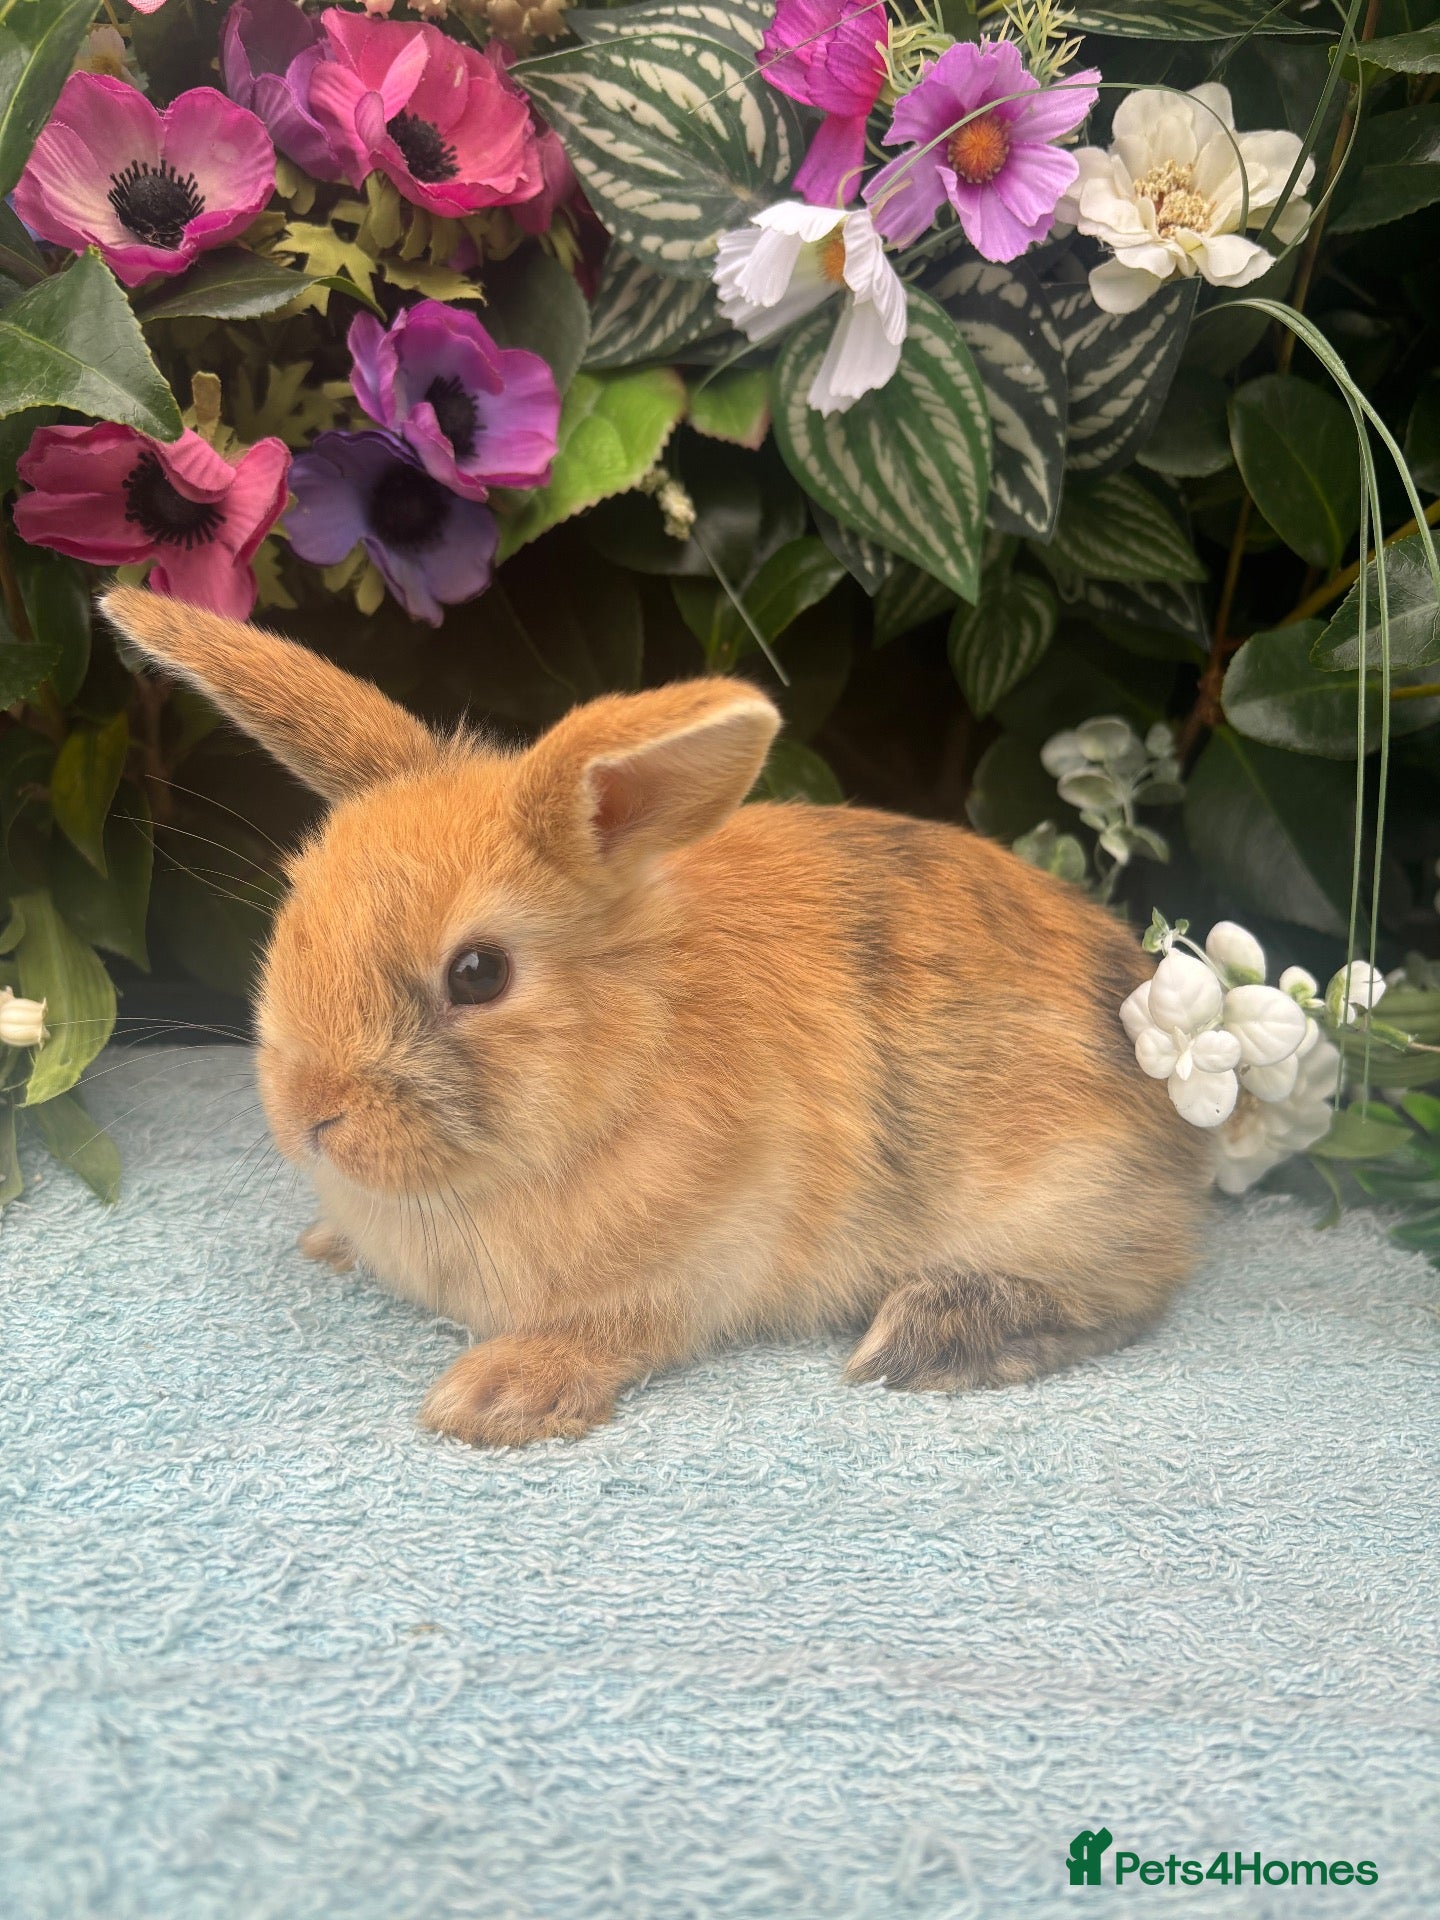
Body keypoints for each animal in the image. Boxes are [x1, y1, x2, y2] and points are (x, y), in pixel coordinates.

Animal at [104, 585, 1212, 1448]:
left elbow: (616, 1333)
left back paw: (924, 1340)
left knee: (1128, 1295)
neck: (622, 1065)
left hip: (1062, 1195)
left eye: (478, 973)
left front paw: (493, 1398)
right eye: (297, 907)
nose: (310, 1117)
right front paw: (329, 1244)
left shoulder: (696, 1264)